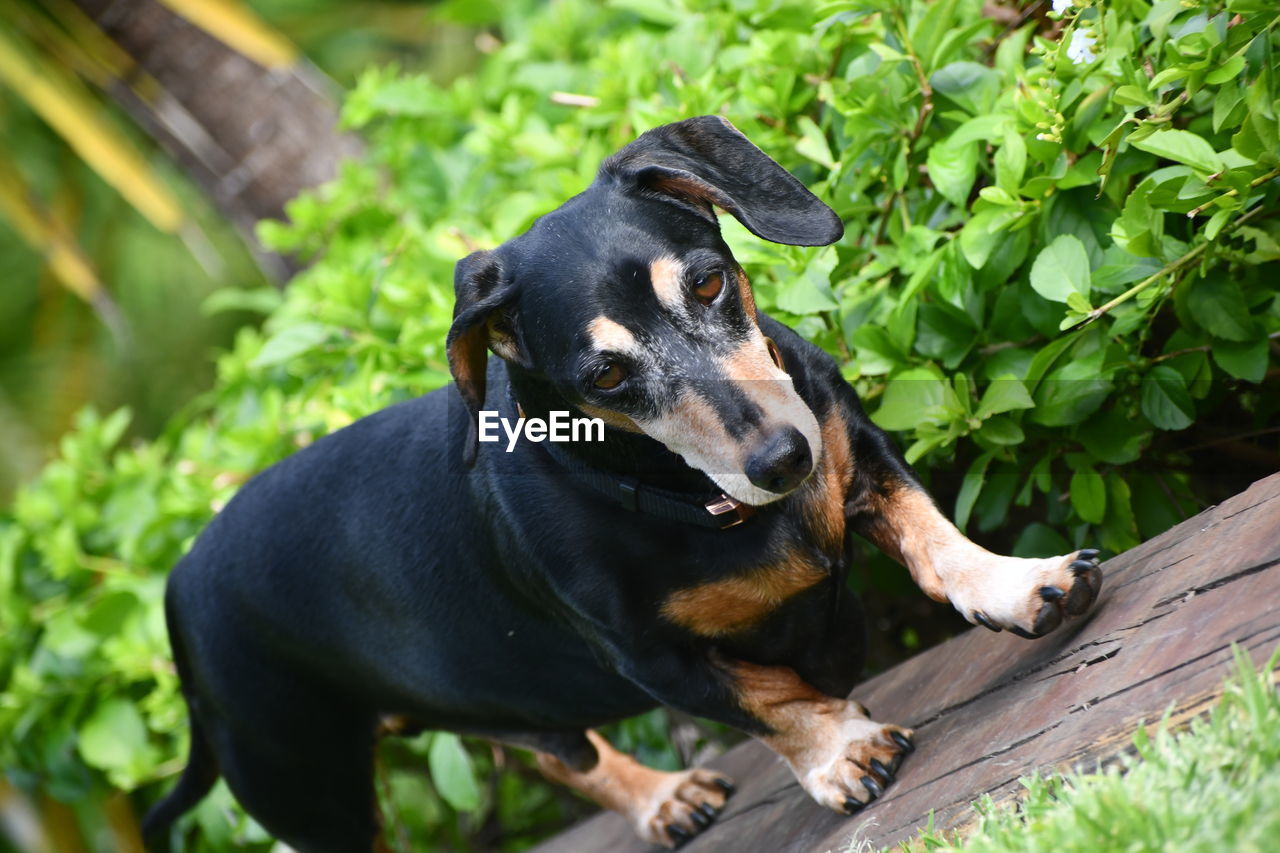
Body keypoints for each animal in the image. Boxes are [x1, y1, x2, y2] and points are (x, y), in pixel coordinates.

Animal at [140, 117, 1100, 850]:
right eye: (604, 375)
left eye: (709, 283)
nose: (783, 460)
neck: (694, 498)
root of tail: (178, 590)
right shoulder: (653, 659)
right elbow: (770, 702)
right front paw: (841, 750)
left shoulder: (853, 444)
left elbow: (936, 539)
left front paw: (1019, 583)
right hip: (319, 793)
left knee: (557, 752)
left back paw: (660, 796)